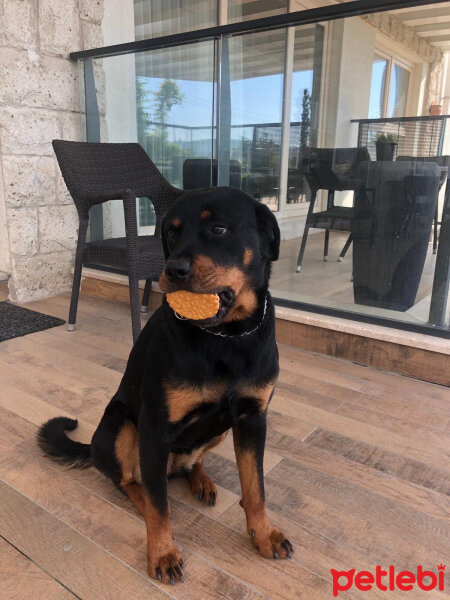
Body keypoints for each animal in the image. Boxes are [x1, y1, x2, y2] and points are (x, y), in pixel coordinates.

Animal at [37, 186, 292, 580]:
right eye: (171, 234)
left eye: (219, 229)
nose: (173, 270)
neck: (226, 337)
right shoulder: (154, 428)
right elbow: (160, 507)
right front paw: (162, 552)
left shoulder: (252, 419)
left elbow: (256, 487)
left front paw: (264, 533)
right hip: (122, 427)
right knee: (132, 482)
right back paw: (146, 499)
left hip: (217, 432)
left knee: (189, 462)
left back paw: (201, 480)